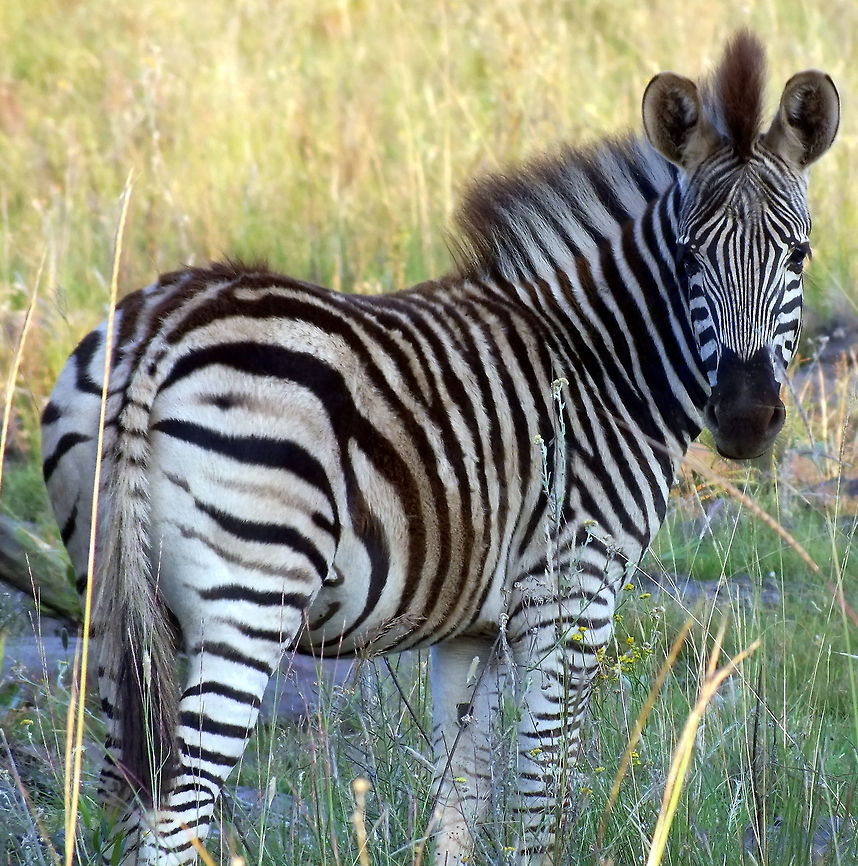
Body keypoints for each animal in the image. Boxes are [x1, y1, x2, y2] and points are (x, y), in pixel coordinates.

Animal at [41, 32, 838, 865]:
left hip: (113, 606)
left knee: (117, 798)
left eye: (799, 256)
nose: (745, 418)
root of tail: (156, 333)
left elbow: (460, 804)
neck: (597, 364)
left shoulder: (473, 633)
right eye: (688, 259)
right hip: (247, 602)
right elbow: (538, 806)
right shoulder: (569, 605)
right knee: (171, 818)